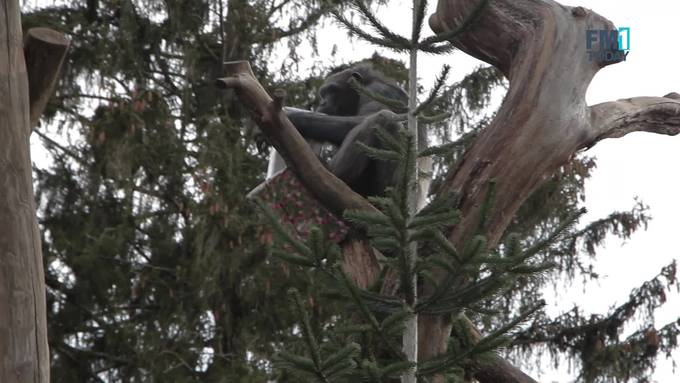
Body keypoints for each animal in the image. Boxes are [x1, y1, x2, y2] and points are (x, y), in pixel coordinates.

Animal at [284, 64, 406, 196]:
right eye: (323, 94)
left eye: (332, 91)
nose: (323, 103)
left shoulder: (377, 91)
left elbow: (365, 117)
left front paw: (294, 117)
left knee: (385, 118)